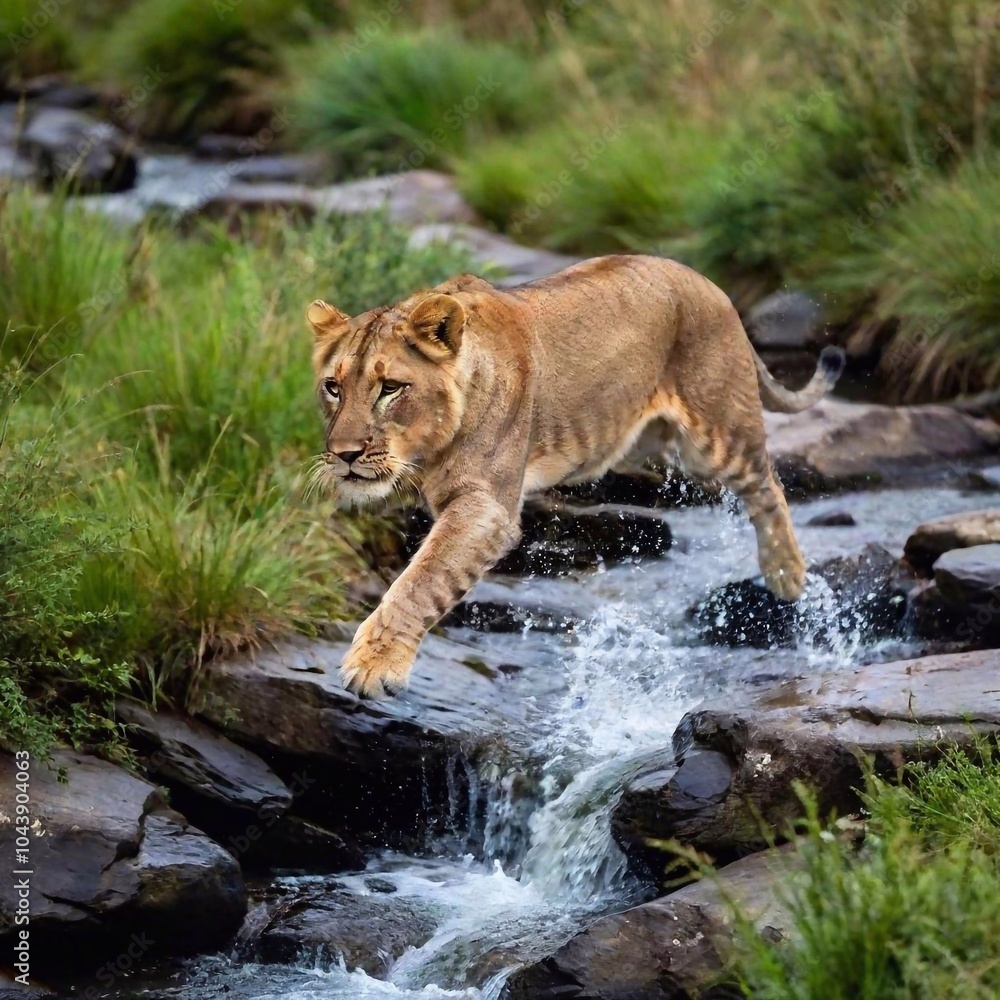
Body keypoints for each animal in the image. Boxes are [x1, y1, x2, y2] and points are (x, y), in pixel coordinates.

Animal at [307, 255, 844, 698]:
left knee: (767, 484)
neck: (427, 448)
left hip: (715, 436)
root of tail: (708, 282)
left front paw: (374, 665)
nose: (345, 455)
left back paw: (786, 574)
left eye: (390, 388)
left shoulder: (487, 508)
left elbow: (421, 580)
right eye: (333, 387)